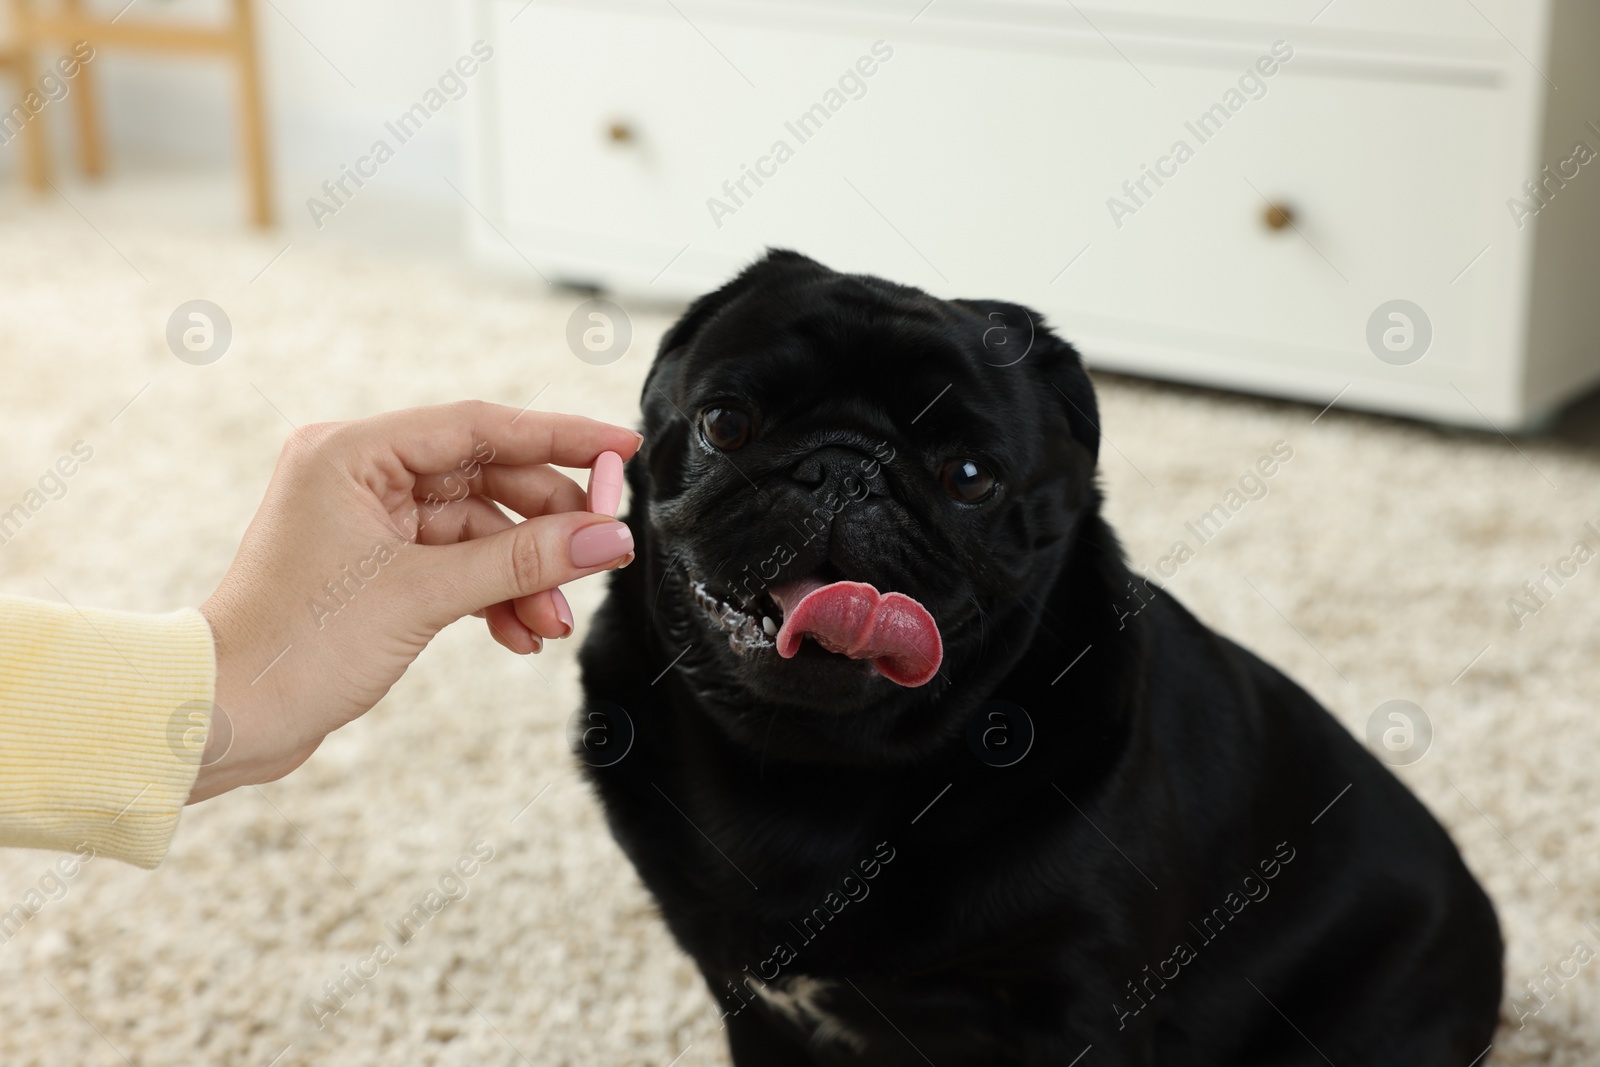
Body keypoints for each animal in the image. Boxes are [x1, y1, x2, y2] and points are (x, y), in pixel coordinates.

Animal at [576, 252, 1497, 1067]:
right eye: (726, 423)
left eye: (969, 475)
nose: (843, 469)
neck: (818, 770)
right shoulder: (751, 1004)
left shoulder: (1084, 1012)